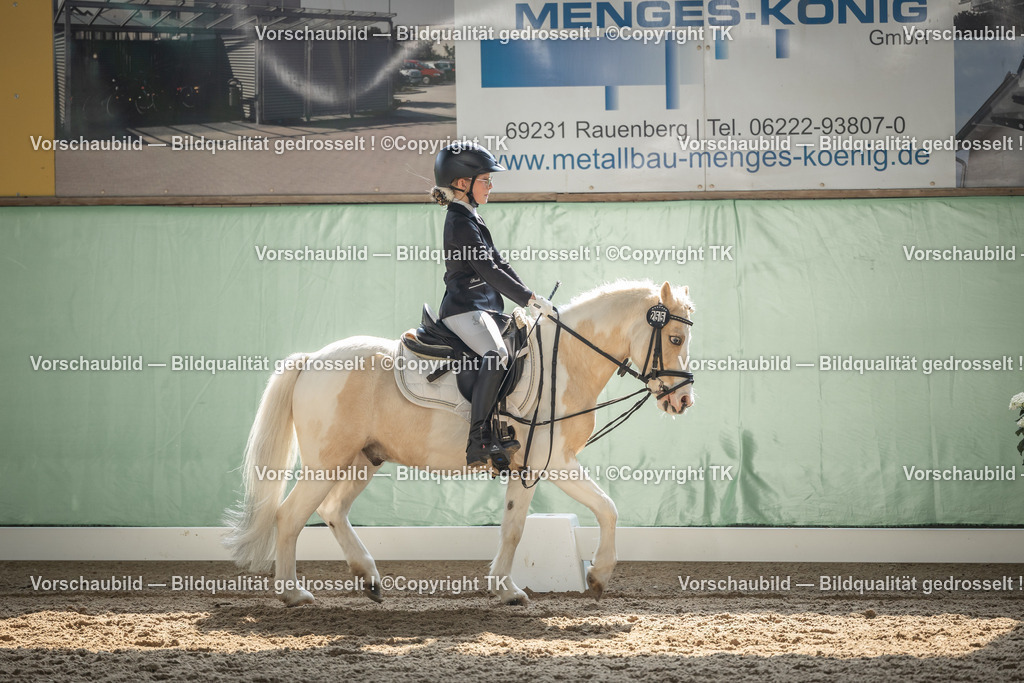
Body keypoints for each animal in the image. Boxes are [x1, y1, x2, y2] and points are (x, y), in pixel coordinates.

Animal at [223, 279, 696, 606]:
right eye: (674, 338)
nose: (683, 400)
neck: (565, 363)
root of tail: (310, 361)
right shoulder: (555, 462)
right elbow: (608, 509)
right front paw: (598, 575)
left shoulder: (525, 468)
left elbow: (513, 528)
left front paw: (505, 590)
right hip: (326, 463)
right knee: (289, 517)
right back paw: (293, 594)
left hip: (362, 460)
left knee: (332, 511)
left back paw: (369, 579)